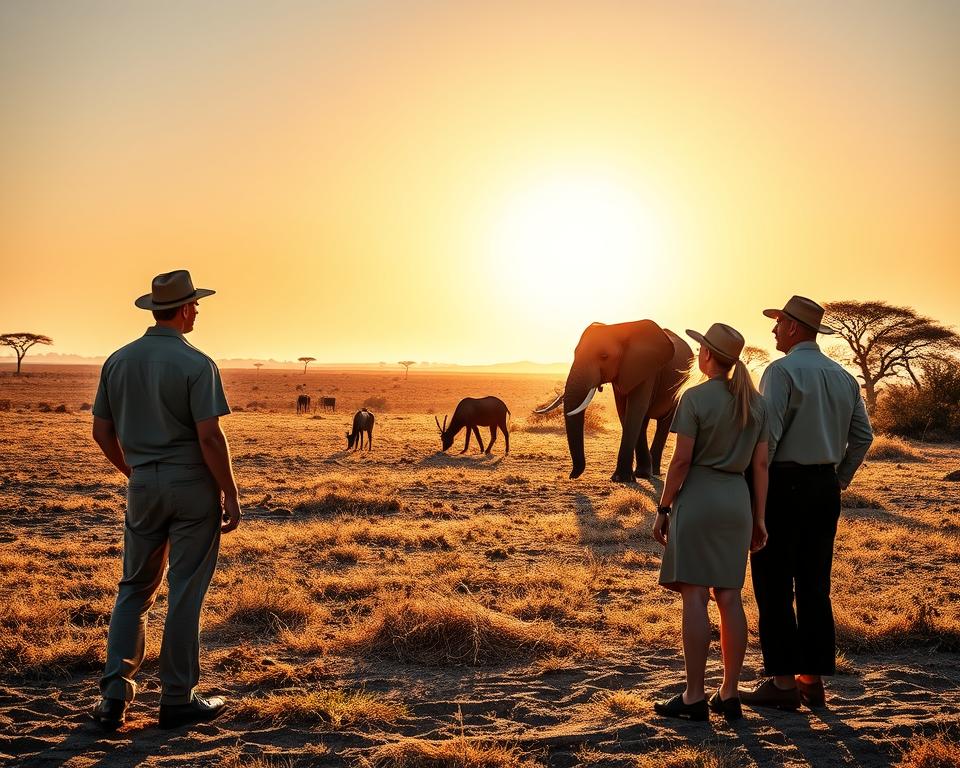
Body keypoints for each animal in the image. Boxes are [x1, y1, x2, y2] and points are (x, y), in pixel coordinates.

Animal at [536, 320, 692, 482]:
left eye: (604, 356)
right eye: (575, 353)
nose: (572, 476)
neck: (620, 329)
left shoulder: (647, 370)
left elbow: (636, 409)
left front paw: (622, 478)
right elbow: (624, 410)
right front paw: (633, 476)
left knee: (665, 421)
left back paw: (653, 472)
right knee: (644, 421)